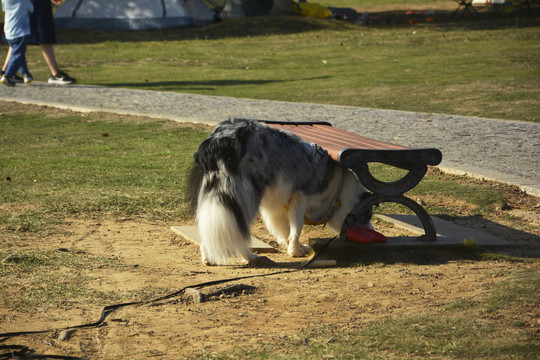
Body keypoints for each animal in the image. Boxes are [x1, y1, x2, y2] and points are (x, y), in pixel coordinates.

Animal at [190, 118, 372, 264]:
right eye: (367, 215)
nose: (372, 233)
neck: (338, 188)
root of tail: (219, 140)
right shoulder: (300, 198)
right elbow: (296, 229)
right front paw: (295, 251)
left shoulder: (276, 206)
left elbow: (285, 229)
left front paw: (296, 247)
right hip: (246, 198)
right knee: (237, 232)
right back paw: (250, 257)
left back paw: (208, 258)